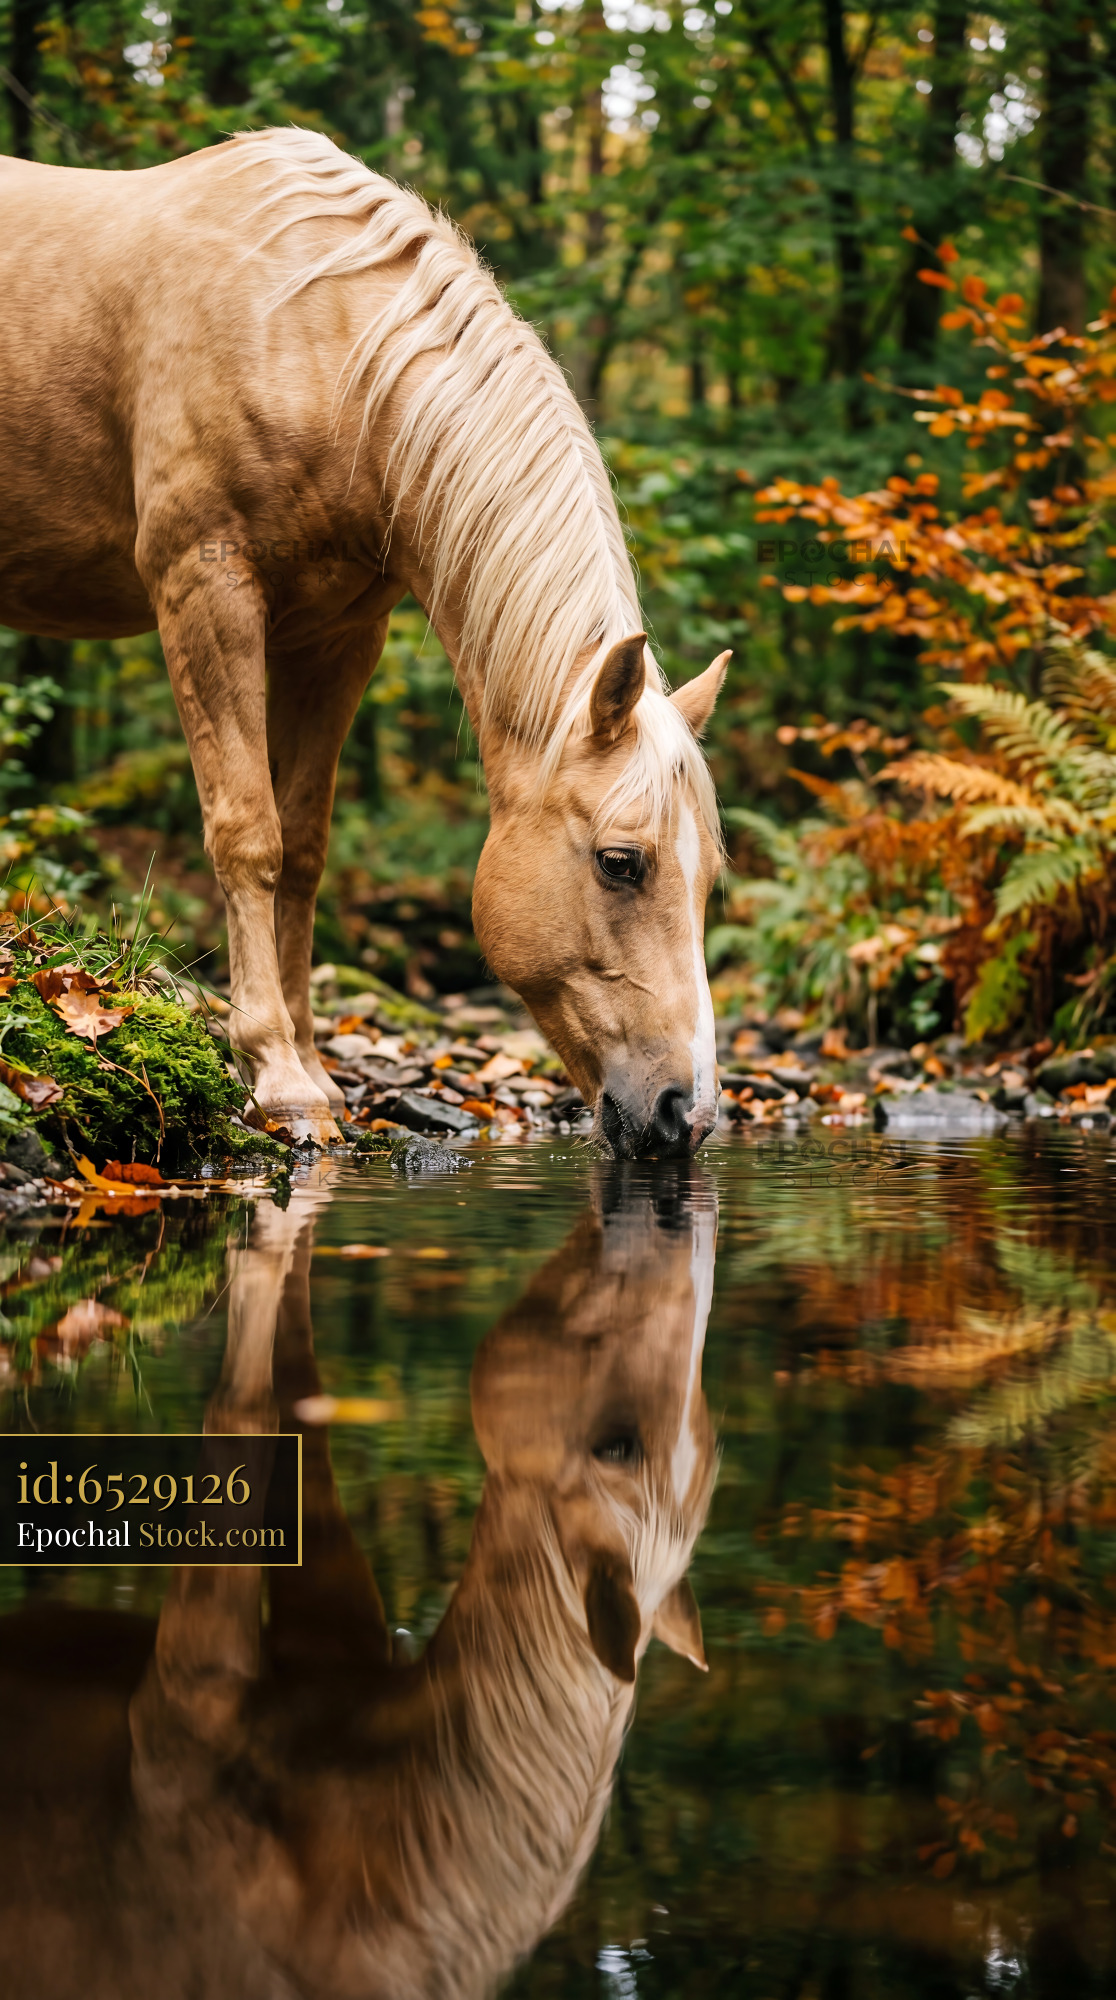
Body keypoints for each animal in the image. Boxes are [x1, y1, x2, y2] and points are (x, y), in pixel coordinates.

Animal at [0, 128, 729, 1154]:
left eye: (710, 880)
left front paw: (311, 1065)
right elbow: (249, 834)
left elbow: (304, 849)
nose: (687, 1115)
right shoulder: (204, 588)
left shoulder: (338, 635)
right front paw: (276, 1076)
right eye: (621, 863)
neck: (308, 338)